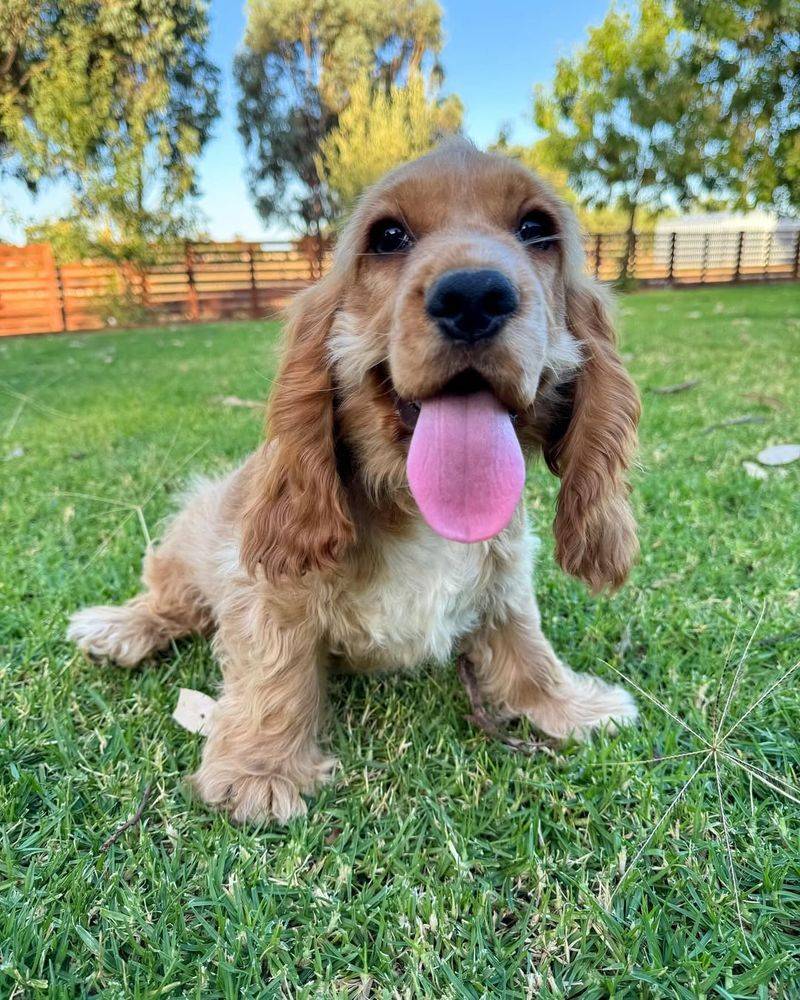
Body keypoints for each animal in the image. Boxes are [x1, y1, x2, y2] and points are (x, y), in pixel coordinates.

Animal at [70, 143, 644, 828]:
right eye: (389, 237)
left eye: (536, 229)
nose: (473, 296)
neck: (413, 505)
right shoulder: (270, 587)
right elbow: (276, 671)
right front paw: (259, 772)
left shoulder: (504, 575)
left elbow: (526, 643)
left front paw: (568, 705)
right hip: (192, 530)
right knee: (170, 597)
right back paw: (120, 628)